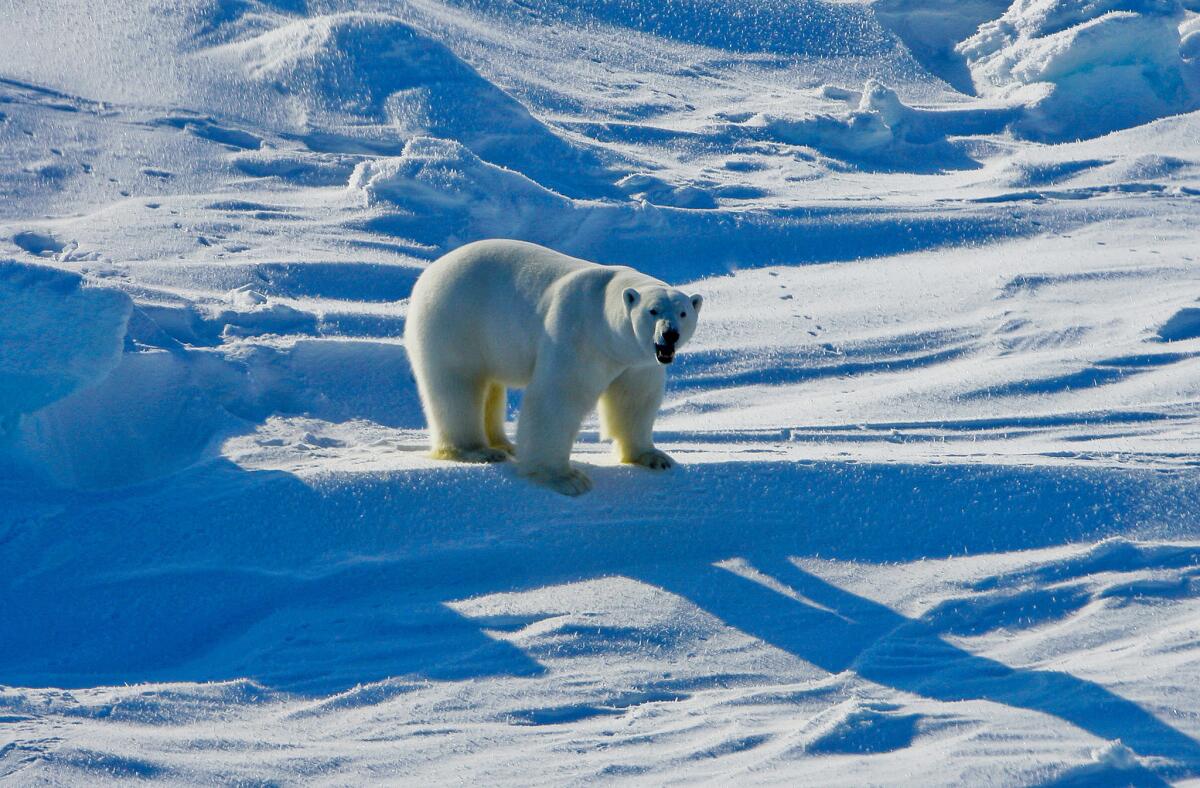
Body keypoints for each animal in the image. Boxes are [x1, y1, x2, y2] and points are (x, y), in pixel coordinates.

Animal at [405, 236, 700, 494]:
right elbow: (557, 399)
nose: (669, 335)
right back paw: (477, 451)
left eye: (683, 312)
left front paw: (654, 457)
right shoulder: (577, 336)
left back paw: (505, 445)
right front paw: (566, 478)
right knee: (457, 385)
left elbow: (634, 400)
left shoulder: (638, 362)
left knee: (490, 387)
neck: (604, 322)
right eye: (653, 311)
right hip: (456, 320)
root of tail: (430, 272)